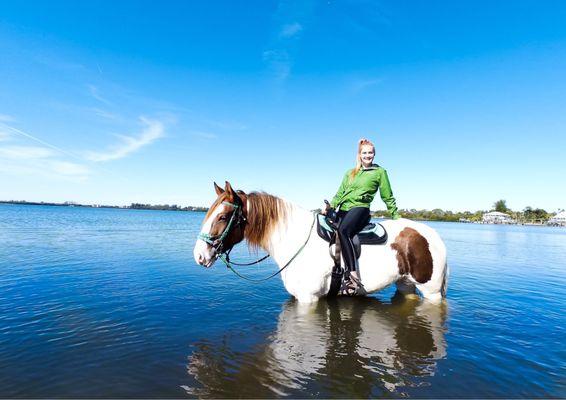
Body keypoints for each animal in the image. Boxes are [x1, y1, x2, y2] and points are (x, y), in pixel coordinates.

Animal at [193, 181, 450, 304]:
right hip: (405, 284)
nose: (199, 255)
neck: (295, 240)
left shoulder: (309, 299)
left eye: (223, 217)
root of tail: (433, 235)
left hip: (432, 292)